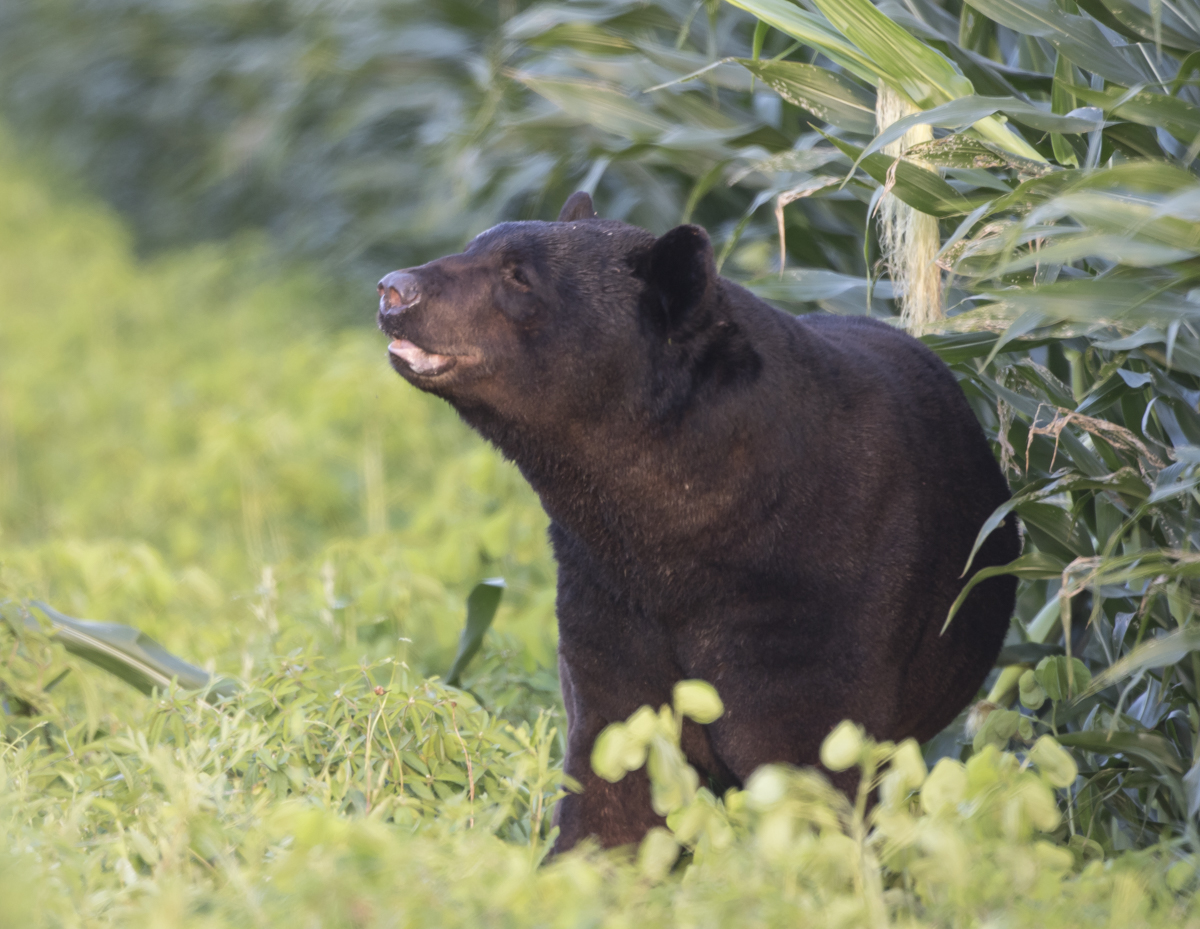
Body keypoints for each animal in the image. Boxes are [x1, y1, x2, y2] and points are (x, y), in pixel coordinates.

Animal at [375, 191, 1020, 853]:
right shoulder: (604, 597)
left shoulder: (821, 599)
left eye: (518, 276)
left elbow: (809, 766)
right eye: (476, 246)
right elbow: (614, 775)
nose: (394, 289)